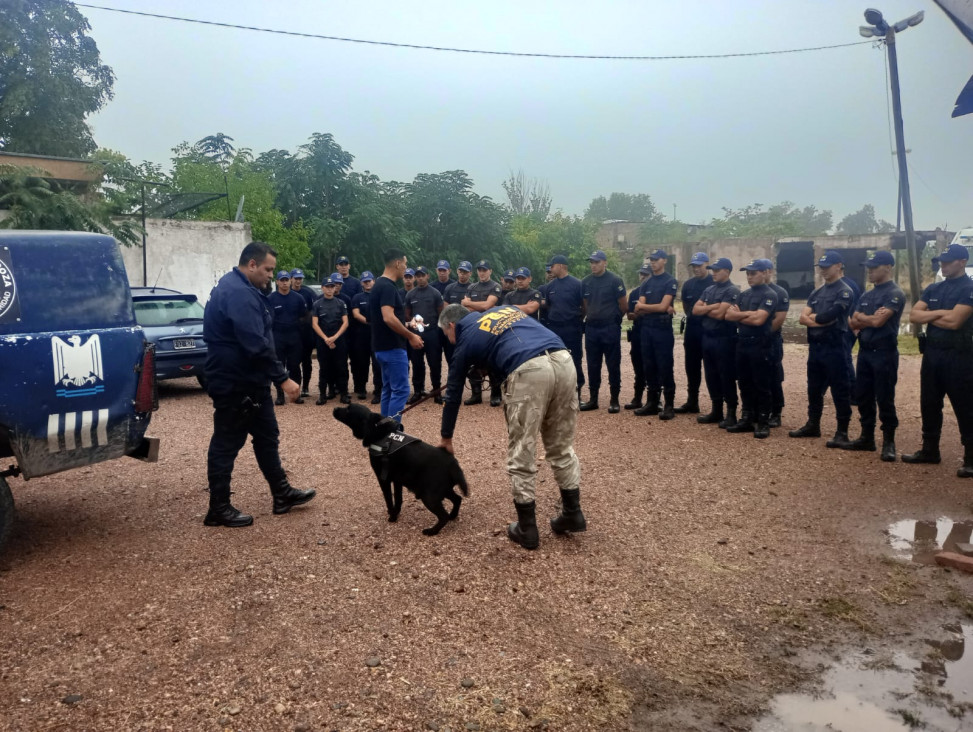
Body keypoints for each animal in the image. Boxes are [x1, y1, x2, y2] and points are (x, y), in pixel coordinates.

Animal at [332, 404, 468, 536]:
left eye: (348, 409)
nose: (335, 408)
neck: (378, 432)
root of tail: (453, 463)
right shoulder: (397, 479)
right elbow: (398, 499)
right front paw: (396, 513)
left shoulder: (383, 478)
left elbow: (388, 499)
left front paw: (392, 516)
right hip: (442, 490)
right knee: (458, 499)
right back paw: (453, 516)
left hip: (430, 496)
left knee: (443, 516)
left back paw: (432, 531)